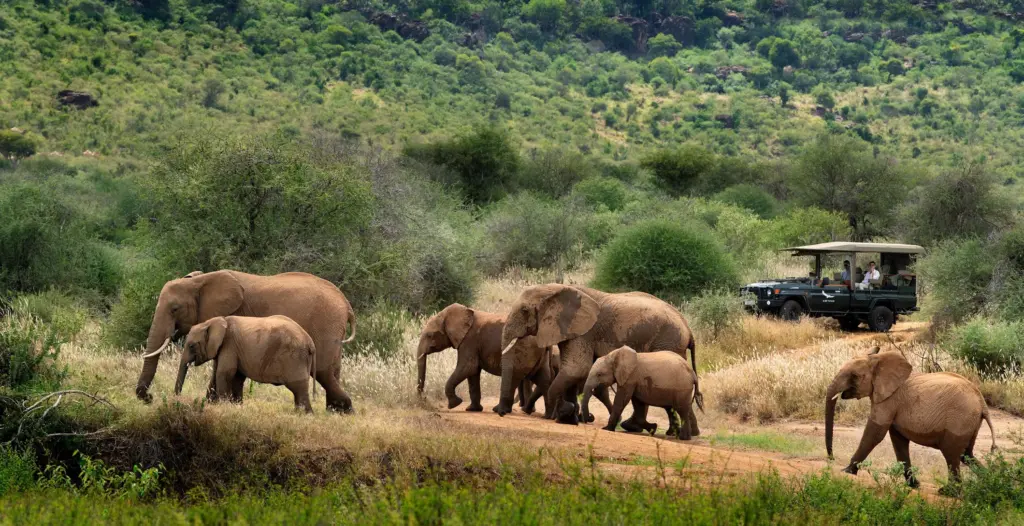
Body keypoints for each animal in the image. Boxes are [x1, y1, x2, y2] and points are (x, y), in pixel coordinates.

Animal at [176, 316, 316, 412]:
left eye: (192, 346)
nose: (177, 397)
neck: (211, 322)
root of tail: (310, 342)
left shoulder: (229, 345)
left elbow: (224, 373)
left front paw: (223, 405)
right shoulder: (225, 349)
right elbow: (224, 376)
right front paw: (231, 405)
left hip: (295, 357)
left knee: (298, 387)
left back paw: (305, 414)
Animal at [416, 303, 555, 413]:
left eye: (430, 335)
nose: (423, 399)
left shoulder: (469, 341)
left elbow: (468, 368)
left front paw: (454, 404)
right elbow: (473, 373)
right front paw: (472, 409)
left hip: (522, 350)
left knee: (513, 376)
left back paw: (499, 410)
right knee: (542, 378)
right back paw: (547, 415)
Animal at [497, 284, 699, 433]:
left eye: (524, 310)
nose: (501, 413)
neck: (556, 289)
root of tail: (688, 329)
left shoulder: (584, 332)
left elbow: (576, 368)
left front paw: (563, 414)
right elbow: (574, 371)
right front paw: (569, 417)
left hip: (668, 342)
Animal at [825, 347, 997, 489]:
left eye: (854, 376)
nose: (831, 459)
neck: (879, 359)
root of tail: (982, 403)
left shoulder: (889, 400)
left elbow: (875, 432)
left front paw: (847, 471)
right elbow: (898, 440)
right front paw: (914, 485)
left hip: (960, 419)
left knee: (952, 453)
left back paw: (948, 492)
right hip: (969, 421)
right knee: (965, 454)